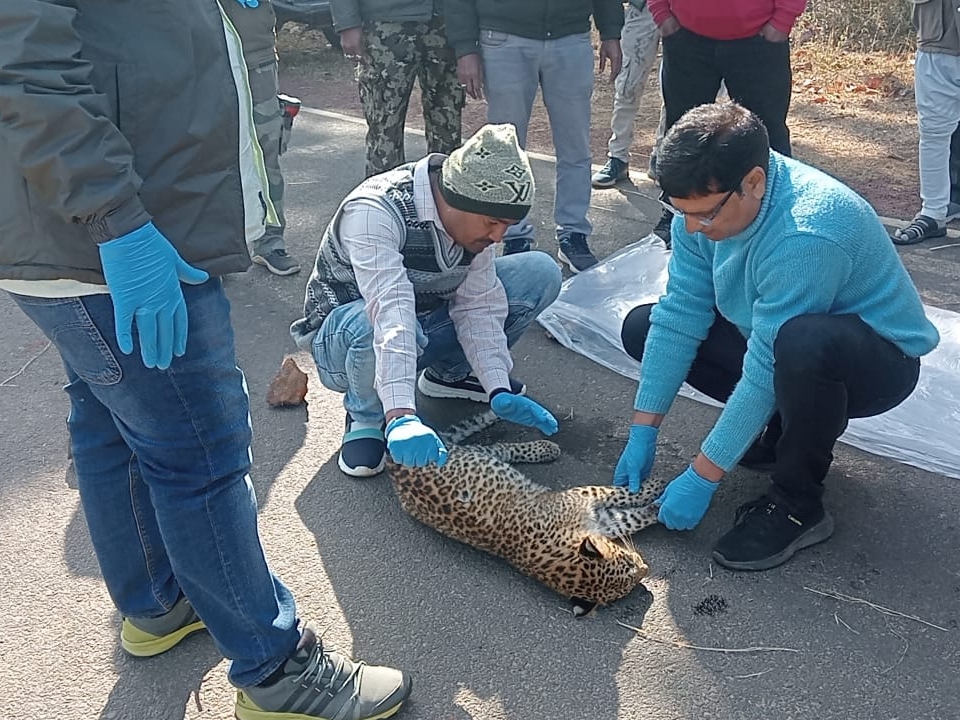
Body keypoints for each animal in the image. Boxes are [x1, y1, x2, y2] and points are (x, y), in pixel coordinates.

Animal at [386, 410, 668, 616]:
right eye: (627, 583)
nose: (645, 568)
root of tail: (394, 459)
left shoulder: (601, 520)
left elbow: (632, 517)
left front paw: (662, 504)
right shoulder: (584, 497)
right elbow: (622, 496)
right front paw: (657, 490)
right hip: (479, 454)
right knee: (501, 447)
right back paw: (543, 446)